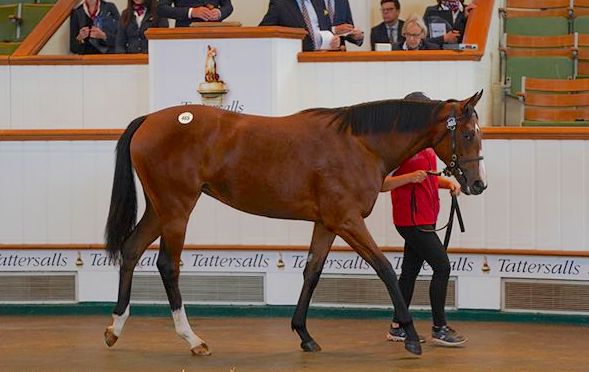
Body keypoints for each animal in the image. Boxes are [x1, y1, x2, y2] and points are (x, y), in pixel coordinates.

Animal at [103, 90, 484, 358]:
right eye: (467, 135)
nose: (478, 185)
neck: (359, 144)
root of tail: (149, 120)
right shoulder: (348, 221)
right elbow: (385, 270)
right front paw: (411, 337)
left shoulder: (327, 223)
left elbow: (312, 272)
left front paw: (304, 334)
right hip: (177, 209)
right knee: (168, 265)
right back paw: (192, 339)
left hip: (160, 210)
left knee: (131, 250)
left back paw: (115, 328)